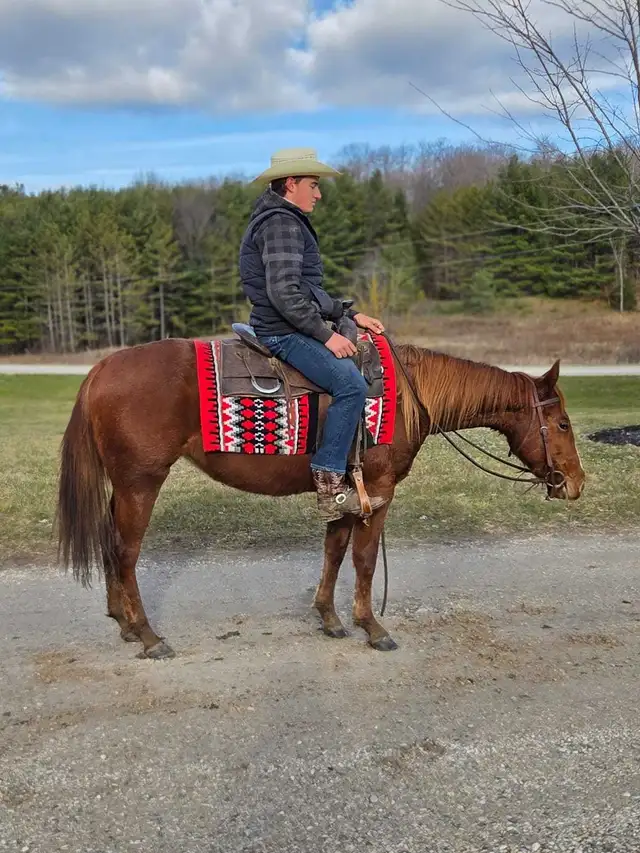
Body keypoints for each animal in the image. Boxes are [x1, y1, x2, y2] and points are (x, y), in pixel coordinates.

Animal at [55, 337, 585, 659]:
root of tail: (101, 368)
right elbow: (365, 561)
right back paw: (147, 635)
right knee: (125, 552)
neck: (405, 397)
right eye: (562, 424)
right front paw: (372, 627)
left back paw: (124, 623)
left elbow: (334, 550)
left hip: (123, 486)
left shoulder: (346, 492)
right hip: (141, 482)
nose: (576, 483)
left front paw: (329, 618)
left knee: (111, 546)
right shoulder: (380, 493)